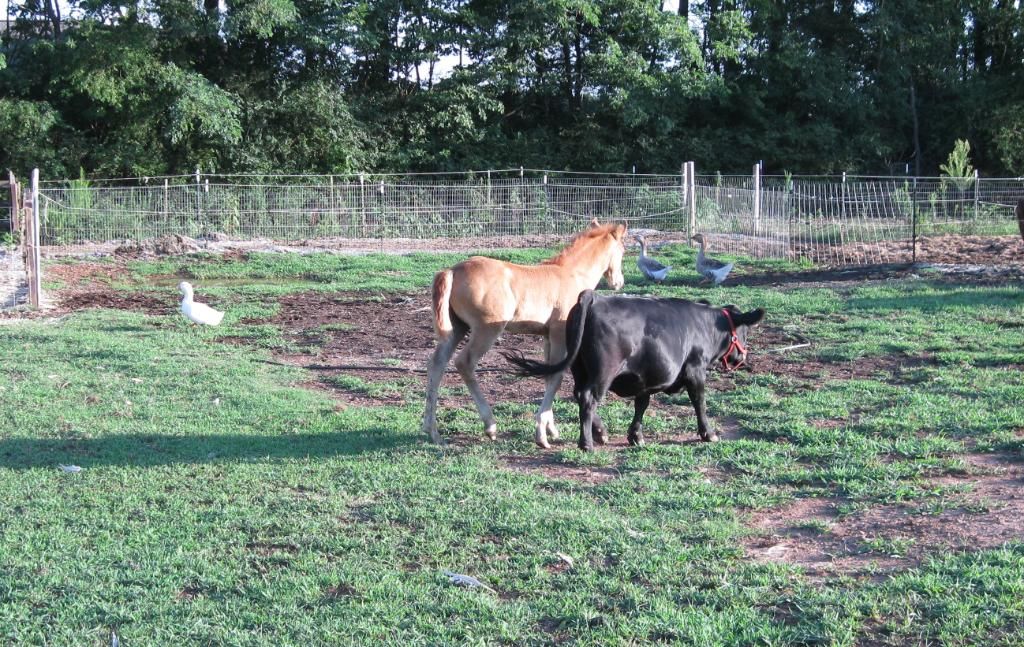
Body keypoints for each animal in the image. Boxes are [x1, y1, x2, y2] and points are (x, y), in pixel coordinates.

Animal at [504, 290, 765, 451]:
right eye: (744, 331)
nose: (743, 357)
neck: (704, 326)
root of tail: (594, 297)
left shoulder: (646, 377)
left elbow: (642, 404)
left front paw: (635, 436)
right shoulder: (695, 371)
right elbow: (699, 402)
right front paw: (708, 433)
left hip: (580, 368)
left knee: (579, 394)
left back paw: (600, 432)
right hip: (604, 371)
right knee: (588, 397)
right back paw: (587, 442)